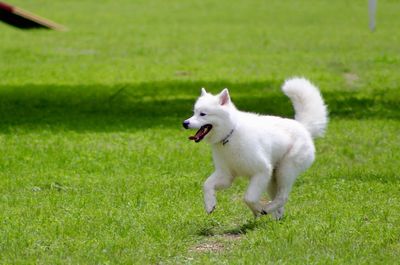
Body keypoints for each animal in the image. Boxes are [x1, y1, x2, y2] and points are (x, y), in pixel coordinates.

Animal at [183, 77, 326, 219]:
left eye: (203, 114)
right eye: (194, 113)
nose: (184, 123)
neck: (230, 134)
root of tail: (304, 127)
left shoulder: (262, 171)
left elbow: (248, 198)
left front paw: (258, 209)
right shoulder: (226, 175)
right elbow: (207, 184)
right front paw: (210, 204)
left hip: (285, 171)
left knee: (282, 197)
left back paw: (267, 209)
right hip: (272, 179)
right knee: (279, 200)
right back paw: (277, 218)